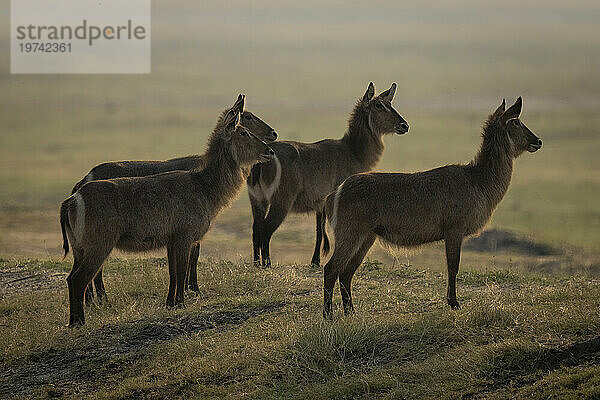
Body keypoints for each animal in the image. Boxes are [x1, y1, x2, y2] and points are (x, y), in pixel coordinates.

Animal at [58, 111, 274, 326]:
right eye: (244, 131)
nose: (270, 150)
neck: (204, 186)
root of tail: (72, 199)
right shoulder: (185, 236)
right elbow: (182, 268)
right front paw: (182, 302)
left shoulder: (172, 239)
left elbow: (173, 271)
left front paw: (171, 304)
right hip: (99, 245)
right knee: (80, 279)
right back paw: (79, 322)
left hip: (79, 249)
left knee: (71, 278)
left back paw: (75, 318)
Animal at [247, 83, 408, 268]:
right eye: (379, 105)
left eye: (390, 104)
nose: (404, 125)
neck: (353, 151)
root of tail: (261, 159)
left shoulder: (320, 202)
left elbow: (319, 229)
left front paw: (315, 261)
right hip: (282, 201)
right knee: (266, 230)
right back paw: (267, 263)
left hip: (257, 200)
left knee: (256, 230)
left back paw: (257, 263)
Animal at [324, 97, 544, 318]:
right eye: (515, 121)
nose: (538, 140)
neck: (479, 181)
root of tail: (336, 192)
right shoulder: (454, 229)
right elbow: (453, 266)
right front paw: (454, 303)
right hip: (350, 232)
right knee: (331, 268)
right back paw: (329, 315)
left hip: (367, 237)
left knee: (346, 273)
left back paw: (350, 312)